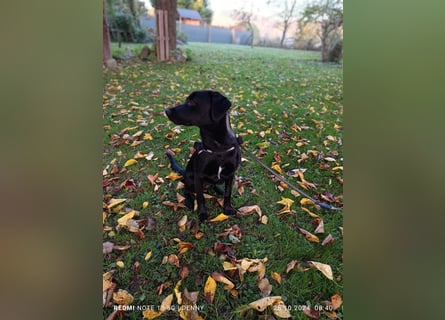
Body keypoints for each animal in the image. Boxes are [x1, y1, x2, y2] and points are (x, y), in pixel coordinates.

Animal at [164, 90, 241, 220]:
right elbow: (200, 197)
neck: (217, 148)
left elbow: (228, 193)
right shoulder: (198, 176)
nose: (167, 111)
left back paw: (219, 190)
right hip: (190, 179)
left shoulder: (230, 174)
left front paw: (228, 208)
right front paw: (202, 213)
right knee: (186, 190)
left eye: (192, 101)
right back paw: (189, 201)